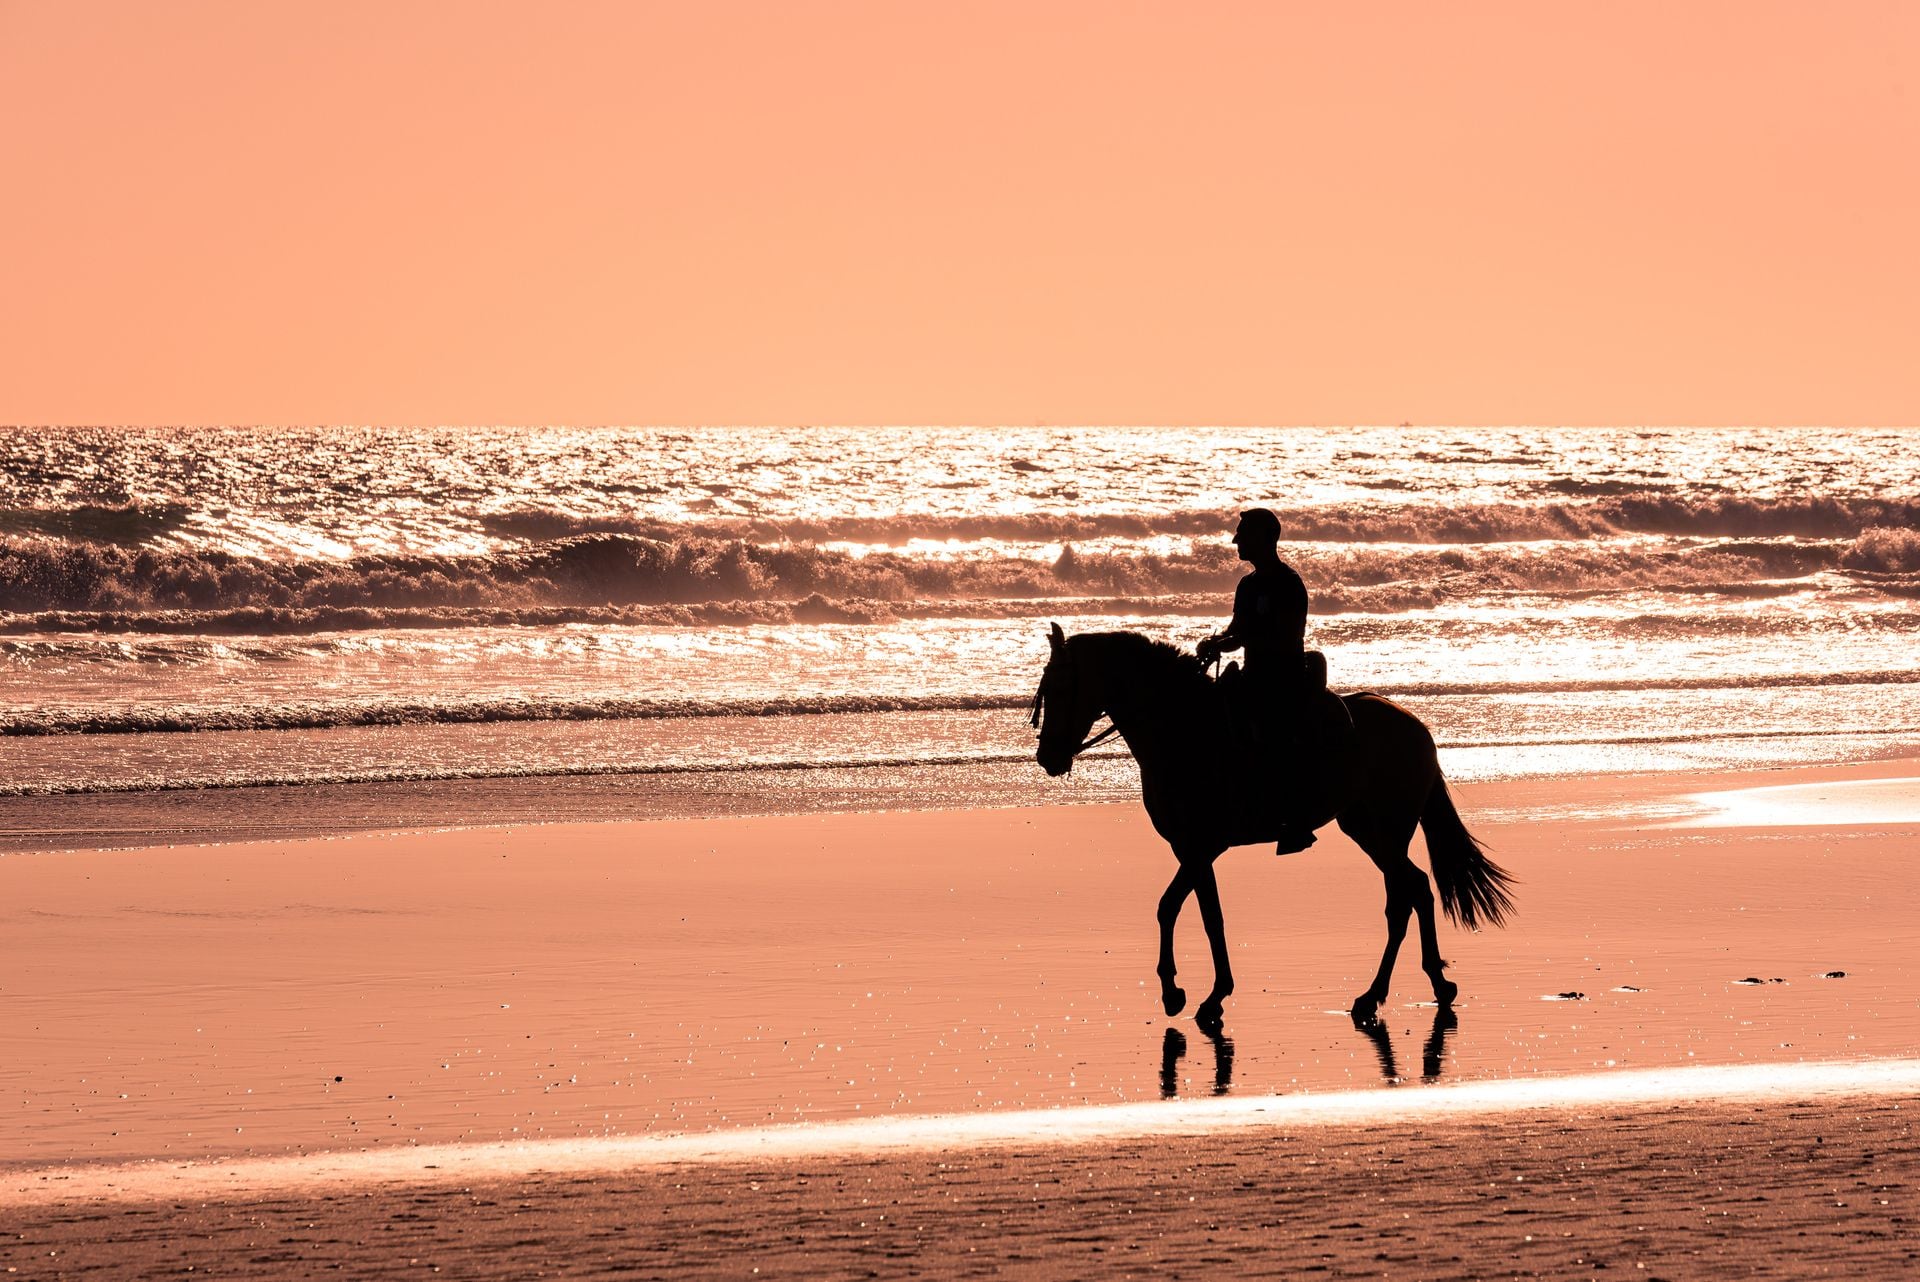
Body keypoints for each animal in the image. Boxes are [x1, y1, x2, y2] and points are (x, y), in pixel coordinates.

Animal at [1030, 623, 1513, 1032]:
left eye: (1058, 688)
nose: (1047, 757)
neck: (1183, 730)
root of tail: (1416, 727)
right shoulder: (1189, 848)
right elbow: (1194, 912)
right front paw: (1191, 993)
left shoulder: (1204, 845)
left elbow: (1186, 911)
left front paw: (1196, 994)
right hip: (1367, 829)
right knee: (1410, 894)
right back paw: (1399, 990)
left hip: (1383, 831)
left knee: (1409, 894)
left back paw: (1395, 991)